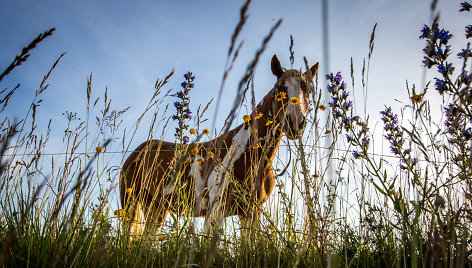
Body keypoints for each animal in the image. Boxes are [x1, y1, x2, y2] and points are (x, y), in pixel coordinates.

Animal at [120, 55, 318, 239]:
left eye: (309, 90)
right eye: (279, 88)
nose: (295, 123)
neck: (246, 154)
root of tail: (137, 153)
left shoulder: (250, 212)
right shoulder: (216, 211)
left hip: (156, 209)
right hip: (131, 207)